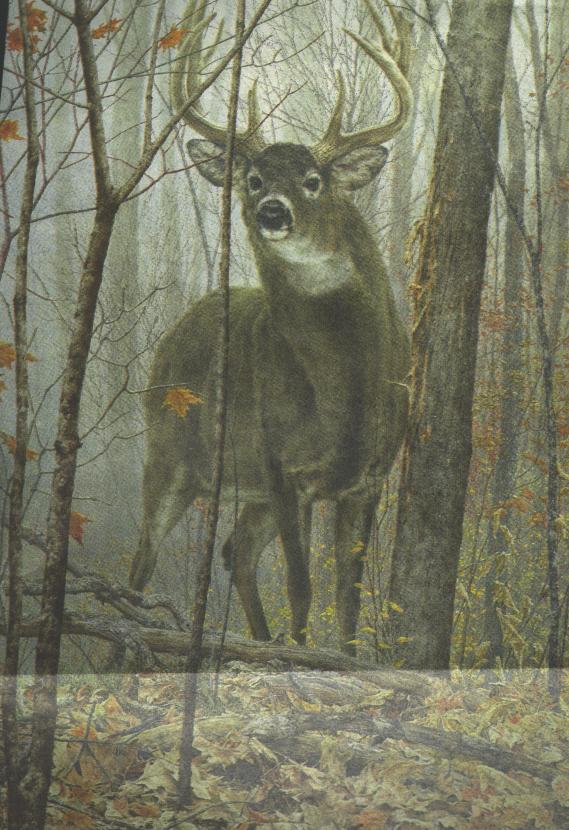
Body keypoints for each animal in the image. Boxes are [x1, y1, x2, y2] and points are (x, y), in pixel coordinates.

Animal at [129, 0, 413, 655]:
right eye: (253, 178)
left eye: (314, 179)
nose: (272, 211)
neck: (342, 391)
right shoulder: (283, 467)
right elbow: (303, 589)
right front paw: (302, 658)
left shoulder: (367, 478)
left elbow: (348, 600)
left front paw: (344, 663)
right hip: (170, 454)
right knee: (141, 566)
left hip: (245, 486)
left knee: (236, 551)